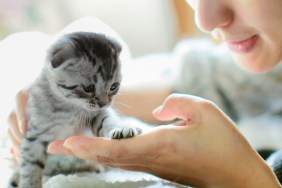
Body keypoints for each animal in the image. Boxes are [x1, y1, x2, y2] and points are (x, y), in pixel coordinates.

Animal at [9, 31, 141, 188]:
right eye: (88, 88)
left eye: (114, 86)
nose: (105, 103)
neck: (69, 106)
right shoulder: (35, 134)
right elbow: (31, 166)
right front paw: (29, 184)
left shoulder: (96, 113)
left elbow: (107, 120)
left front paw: (120, 129)